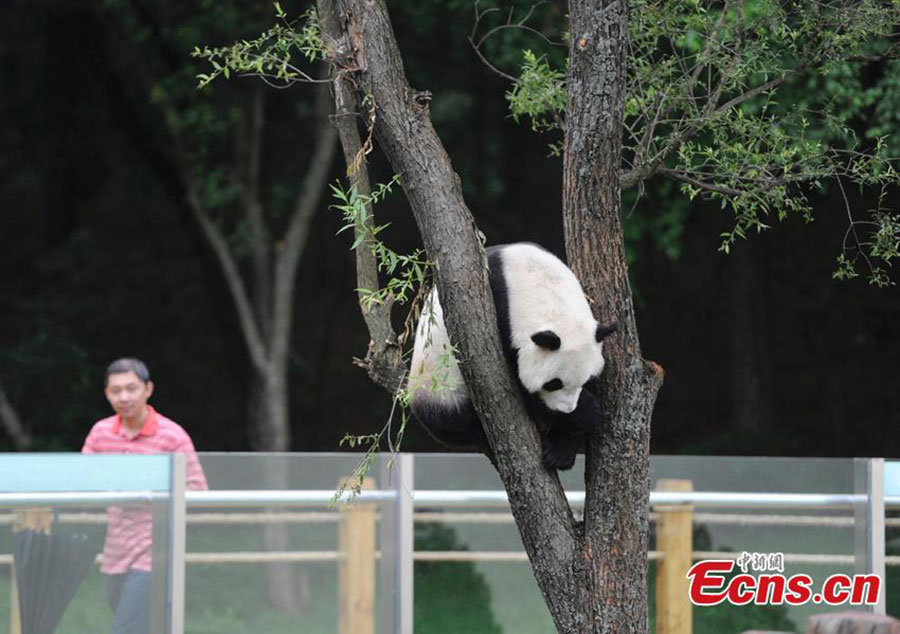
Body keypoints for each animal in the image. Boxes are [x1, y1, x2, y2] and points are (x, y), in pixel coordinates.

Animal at [410, 242, 616, 470]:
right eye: (553, 383)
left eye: (586, 380)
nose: (567, 409)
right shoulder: (494, 322)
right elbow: (516, 385)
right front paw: (582, 413)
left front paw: (564, 444)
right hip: (439, 386)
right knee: (452, 419)